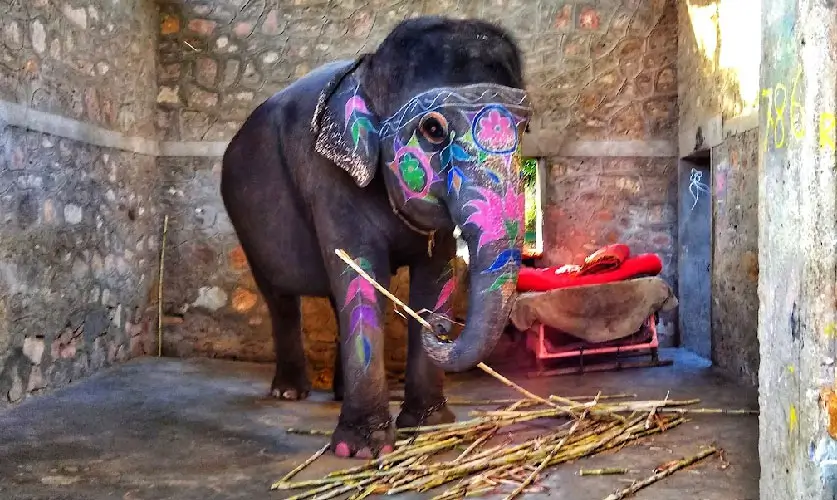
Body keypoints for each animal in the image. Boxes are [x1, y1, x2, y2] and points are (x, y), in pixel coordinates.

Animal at [220, 15, 533, 459]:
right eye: (432, 129)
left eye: (526, 126)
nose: (441, 327)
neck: (368, 74)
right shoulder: (330, 179)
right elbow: (362, 274)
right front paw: (362, 450)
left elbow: (434, 276)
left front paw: (429, 424)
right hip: (245, 223)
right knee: (280, 298)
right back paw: (289, 393)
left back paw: (334, 393)